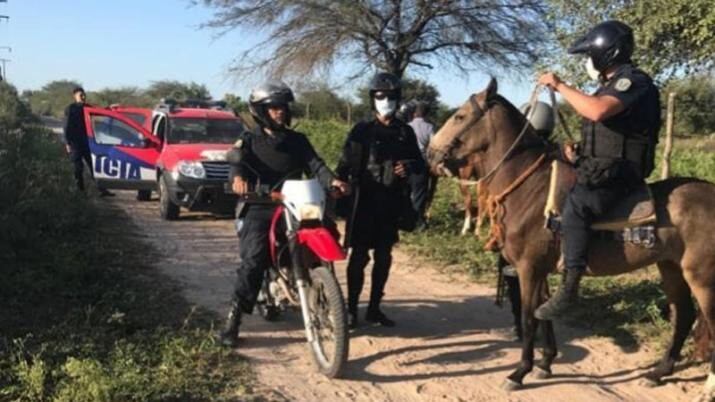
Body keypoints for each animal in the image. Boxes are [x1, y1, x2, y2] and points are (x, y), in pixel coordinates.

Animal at [428, 77, 712, 400]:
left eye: (460, 117)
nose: (430, 155)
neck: (528, 189)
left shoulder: (528, 269)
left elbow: (529, 319)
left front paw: (519, 372)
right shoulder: (539, 270)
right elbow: (544, 314)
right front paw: (545, 363)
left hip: (702, 277)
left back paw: (706, 387)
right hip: (671, 268)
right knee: (684, 316)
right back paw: (658, 373)